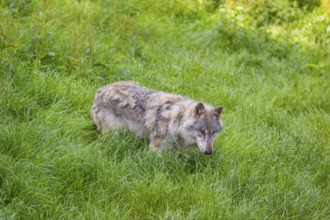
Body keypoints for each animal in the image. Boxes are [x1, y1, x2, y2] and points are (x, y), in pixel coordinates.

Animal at [91, 81, 223, 155]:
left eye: (213, 132)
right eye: (202, 131)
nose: (208, 152)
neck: (177, 120)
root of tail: (99, 91)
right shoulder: (155, 148)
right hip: (112, 135)